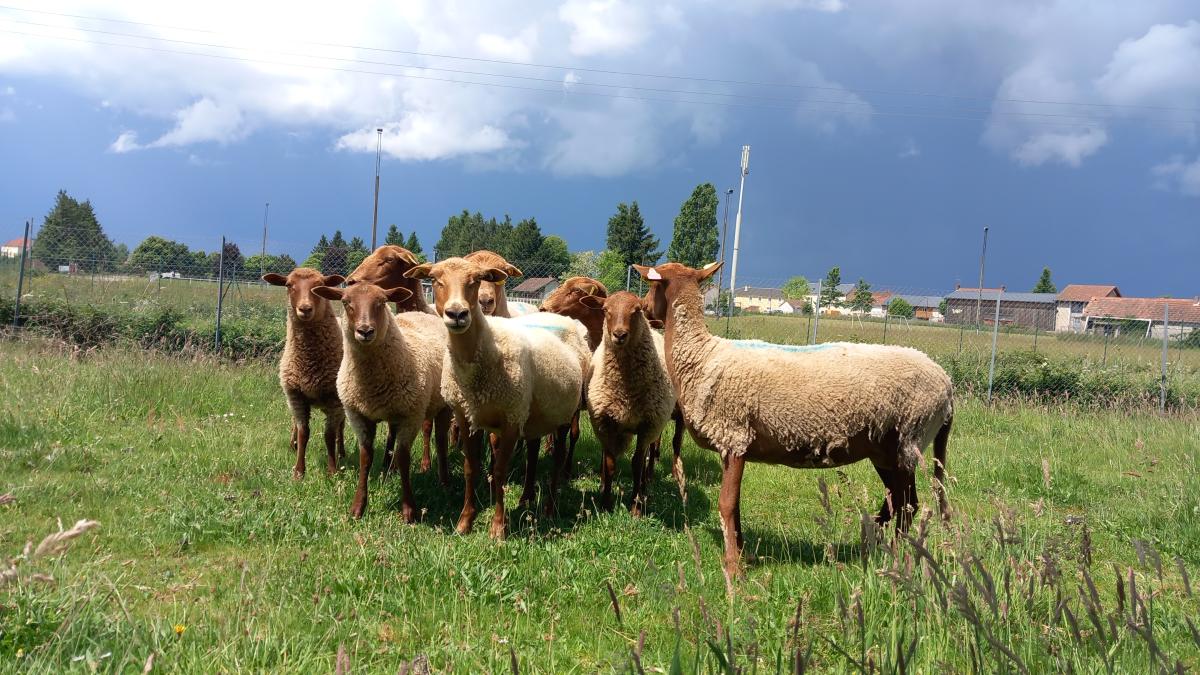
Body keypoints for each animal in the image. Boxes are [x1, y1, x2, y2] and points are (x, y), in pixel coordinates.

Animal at [262, 268, 347, 479]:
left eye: (319, 286)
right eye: (288, 285)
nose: (305, 309)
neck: (308, 362)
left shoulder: (333, 399)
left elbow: (329, 434)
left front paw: (332, 470)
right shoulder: (295, 395)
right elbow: (303, 432)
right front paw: (299, 471)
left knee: (341, 426)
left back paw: (341, 452)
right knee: (295, 423)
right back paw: (292, 444)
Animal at [310, 282, 452, 521]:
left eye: (382, 302)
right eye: (346, 302)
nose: (365, 331)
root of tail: (423, 314)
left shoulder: (411, 416)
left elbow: (404, 458)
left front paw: (408, 510)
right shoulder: (358, 416)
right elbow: (365, 458)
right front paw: (358, 508)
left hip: (443, 405)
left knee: (441, 441)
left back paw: (443, 481)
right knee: (393, 438)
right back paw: (389, 470)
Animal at [405, 257, 590, 539]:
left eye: (475, 280)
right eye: (435, 280)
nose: (457, 314)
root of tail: (566, 319)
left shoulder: (511, 418)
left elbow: (500, 471)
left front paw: (498, 528)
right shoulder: (467, 416)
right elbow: (471, 469)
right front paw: (465, 522)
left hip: (564, 412)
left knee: (557, 458)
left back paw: (549, 507)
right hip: (536, 413)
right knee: (533, 452)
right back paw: (526, 498)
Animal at [577, 291, 676, 515]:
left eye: (637, 309)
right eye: (605, 309)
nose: (619, 335)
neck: (625, 390)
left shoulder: (648, 425)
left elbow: (637, 464)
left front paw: (635, 507)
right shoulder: (604, 422)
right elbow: (610, 463)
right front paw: (605, 503)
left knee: (646, 457)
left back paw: (644, 490)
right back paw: (603, 485)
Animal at [635, 261, 954, 577]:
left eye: (651, 285)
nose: (643, 307)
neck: (701, 355)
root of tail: (947, 385)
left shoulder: (734, 438)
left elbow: (726, 504)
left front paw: (733, 568)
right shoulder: (735, 446)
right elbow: (735, 505)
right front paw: (744, 555)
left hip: (909, 440)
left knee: (908, 505)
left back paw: (897, 558)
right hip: (885, 451)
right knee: (896, 501)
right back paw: (873, 546)